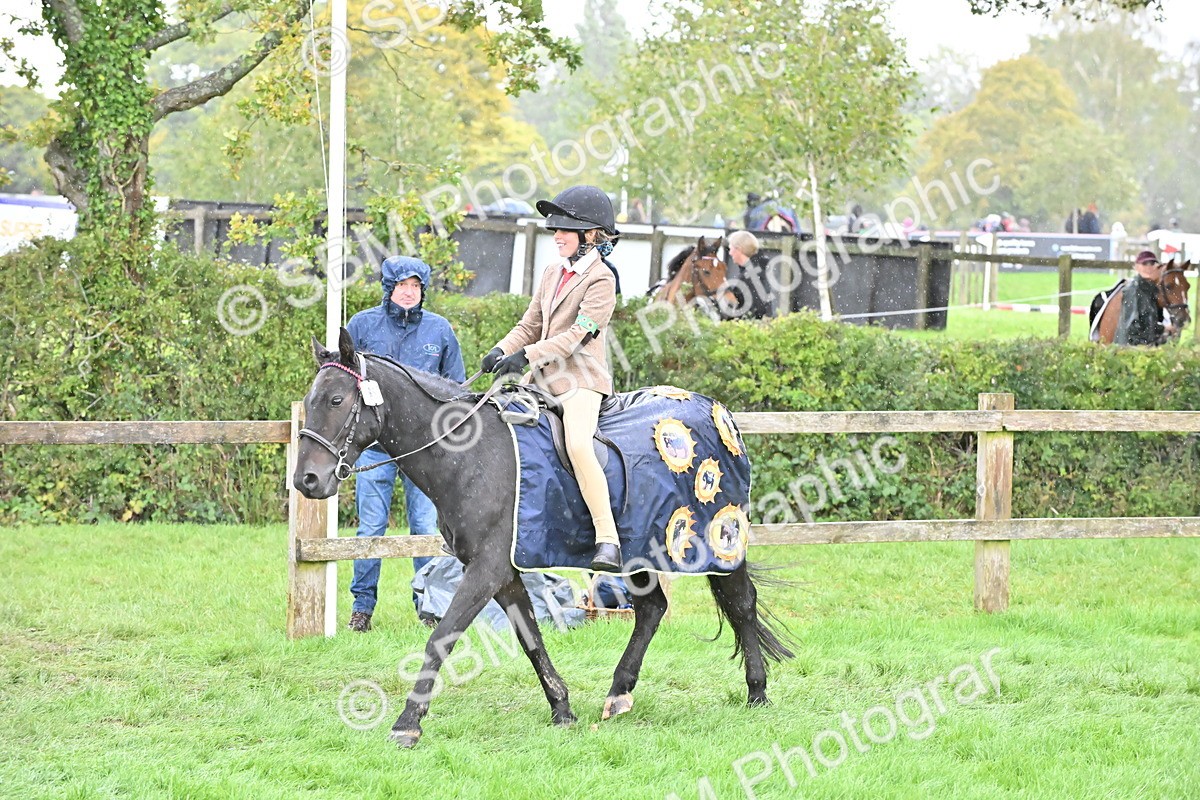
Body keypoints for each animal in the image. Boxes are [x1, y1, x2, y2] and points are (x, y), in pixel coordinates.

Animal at [293, 329, 796, 747]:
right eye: (310, 400)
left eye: (336, 400)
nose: (307, 481)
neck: (469, 450)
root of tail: (720, 411)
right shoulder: (503, 571)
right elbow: (530, 637)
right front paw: (562, 709)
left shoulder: (486, 569)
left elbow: (442, 636)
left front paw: (407, 725)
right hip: (640, 552)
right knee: (653, 608)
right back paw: (619, 692)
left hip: (721, 542)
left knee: (741, 604)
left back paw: (757, 693)